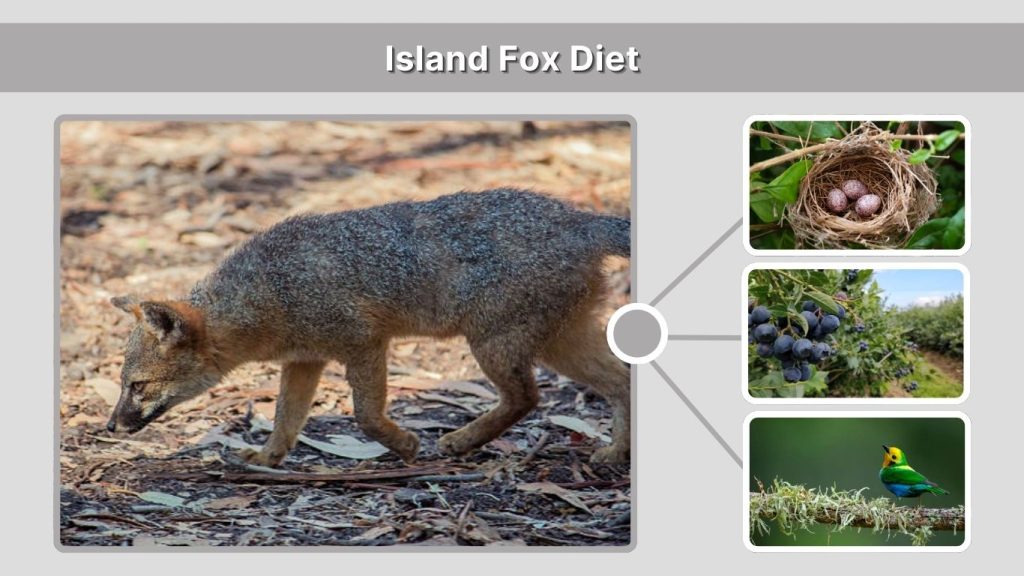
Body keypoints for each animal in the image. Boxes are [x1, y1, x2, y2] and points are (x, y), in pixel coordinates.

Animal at [107, 188, 631, 467]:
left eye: (138, 386)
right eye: (124, 385)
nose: (111, 426)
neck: (268, 290)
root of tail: (580, 219)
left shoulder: (364, 342)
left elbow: (364, 415)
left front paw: (404, 444)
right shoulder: (305, 359)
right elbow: (285, 419)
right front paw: (269, 458)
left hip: (495, 346)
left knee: (528, 397)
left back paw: (460, 440)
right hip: (556, 341)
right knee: (621, 380)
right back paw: (617, 455)